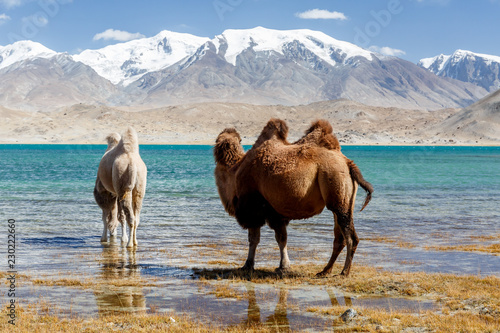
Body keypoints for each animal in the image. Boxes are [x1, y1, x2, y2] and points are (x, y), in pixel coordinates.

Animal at [213, 118, 374, 274]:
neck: (235, 171)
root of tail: (348, 163)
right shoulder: (273, 212)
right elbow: (278, 239)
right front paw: (279, 266)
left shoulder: (255, 209)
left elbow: (260, 239)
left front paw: (253, 265)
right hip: (343, 199)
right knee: (339, 236)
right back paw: (325, 271)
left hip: (336, 185)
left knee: (350, 237)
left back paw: (344, 272)